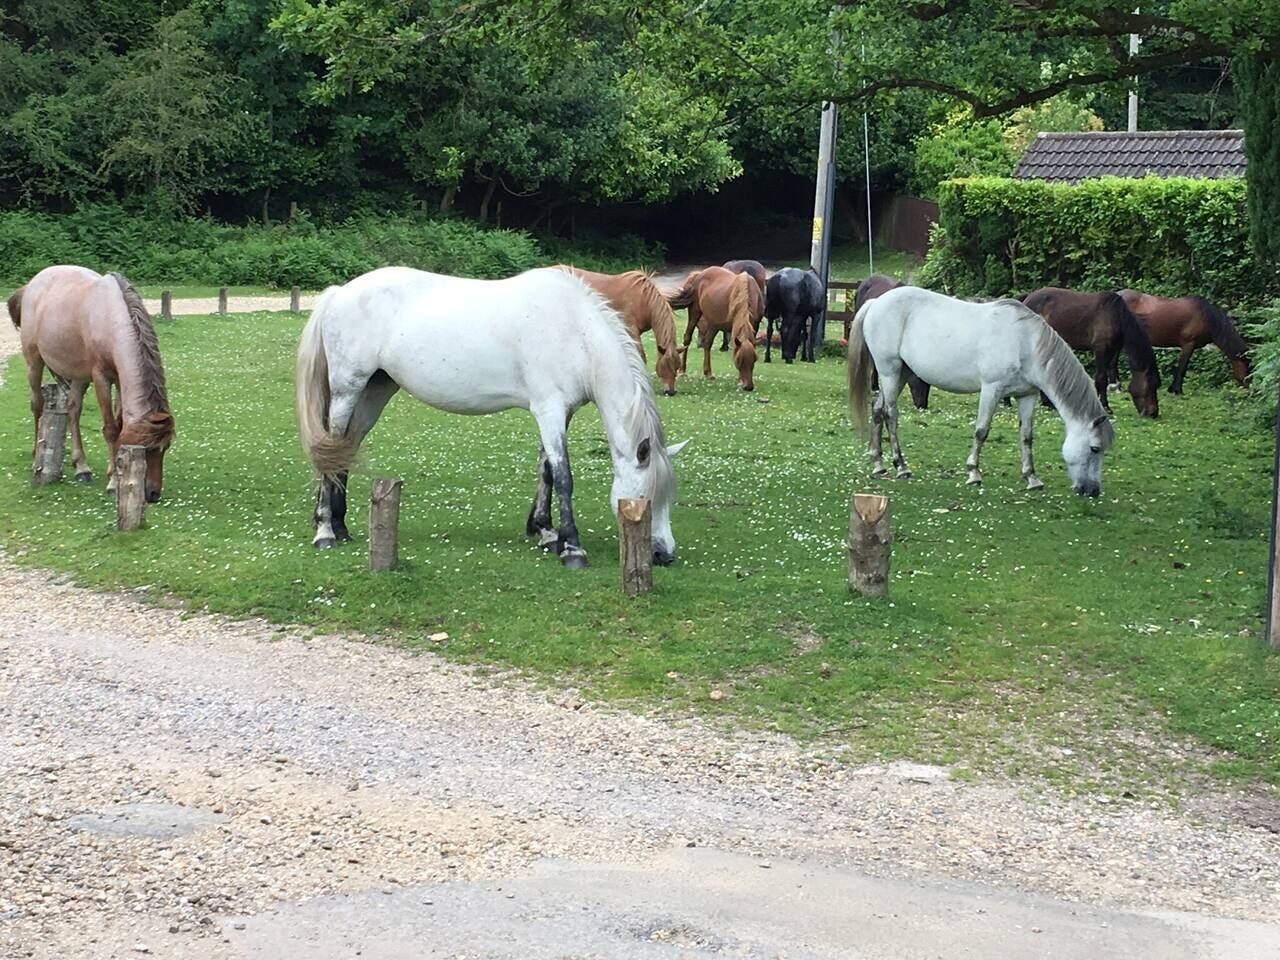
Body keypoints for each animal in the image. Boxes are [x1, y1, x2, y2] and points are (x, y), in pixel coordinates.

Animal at [9, 265, 175, 502]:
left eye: (165, 448)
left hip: (78, 375)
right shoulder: (101, 377)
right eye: (144, 449)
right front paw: (114, 483)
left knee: (73, 410)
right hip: (34, 362)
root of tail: (31, 284)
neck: (111, 319)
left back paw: (81, 468)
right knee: (37, 405)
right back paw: (36, 454)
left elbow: (120, 424)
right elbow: (111, 429)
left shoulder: (119, 378)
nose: (152, 494)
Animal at [554, 266, 680, 396]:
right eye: (665, 365)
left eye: (677, 366)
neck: (643, 299)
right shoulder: (632, 330)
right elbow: (641, 356)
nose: (670, 391)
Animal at [1020, 288, 1160, 418]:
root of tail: (1027, 298)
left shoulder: (1112, 351)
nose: (1153, 413)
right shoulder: (1101, 349)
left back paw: (1048, 404)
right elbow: (1101, 378)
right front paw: (1105, 407)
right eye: (1150, 386)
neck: (1115, 315)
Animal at [1117, 289, 1251, 393]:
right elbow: (1182, 367)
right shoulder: (1188, 344)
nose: (1250, 389)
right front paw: (1176, 390)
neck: (1205, 316)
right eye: (1248, 367)